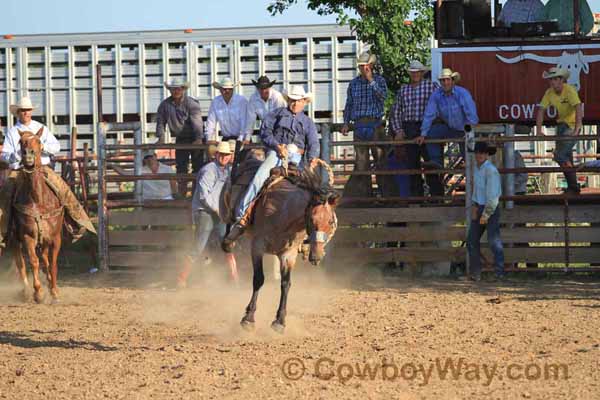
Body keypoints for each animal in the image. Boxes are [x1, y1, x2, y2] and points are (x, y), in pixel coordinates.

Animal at [12, 128, 64, 304]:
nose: (28, 155)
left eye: (39, 141)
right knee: (20, 262)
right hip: (15, 238)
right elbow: (33, 262)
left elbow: (52, 264)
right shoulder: (28, 236)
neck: (37, 199)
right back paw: (26, 291)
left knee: (45, 259)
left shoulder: (55, 237)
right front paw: (38, 293)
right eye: (21, 141)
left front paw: (54, 291)